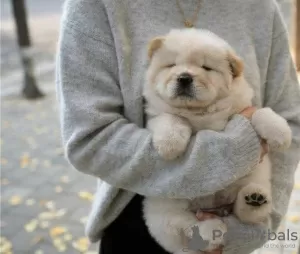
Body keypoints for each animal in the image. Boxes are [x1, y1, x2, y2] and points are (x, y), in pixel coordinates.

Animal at [143, 28, 292, 254]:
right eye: (171, 65)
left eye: (206, 68)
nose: (184, 77)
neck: (199, 112)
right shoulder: (155, 115)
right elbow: (171, 118)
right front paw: (170, 145)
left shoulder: (242, 109)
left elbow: (260, 112)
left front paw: (281, 132)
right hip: (164, 208)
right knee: (186, 224)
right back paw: (212, 229)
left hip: (249, 180)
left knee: (245, 214)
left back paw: (254, 200)